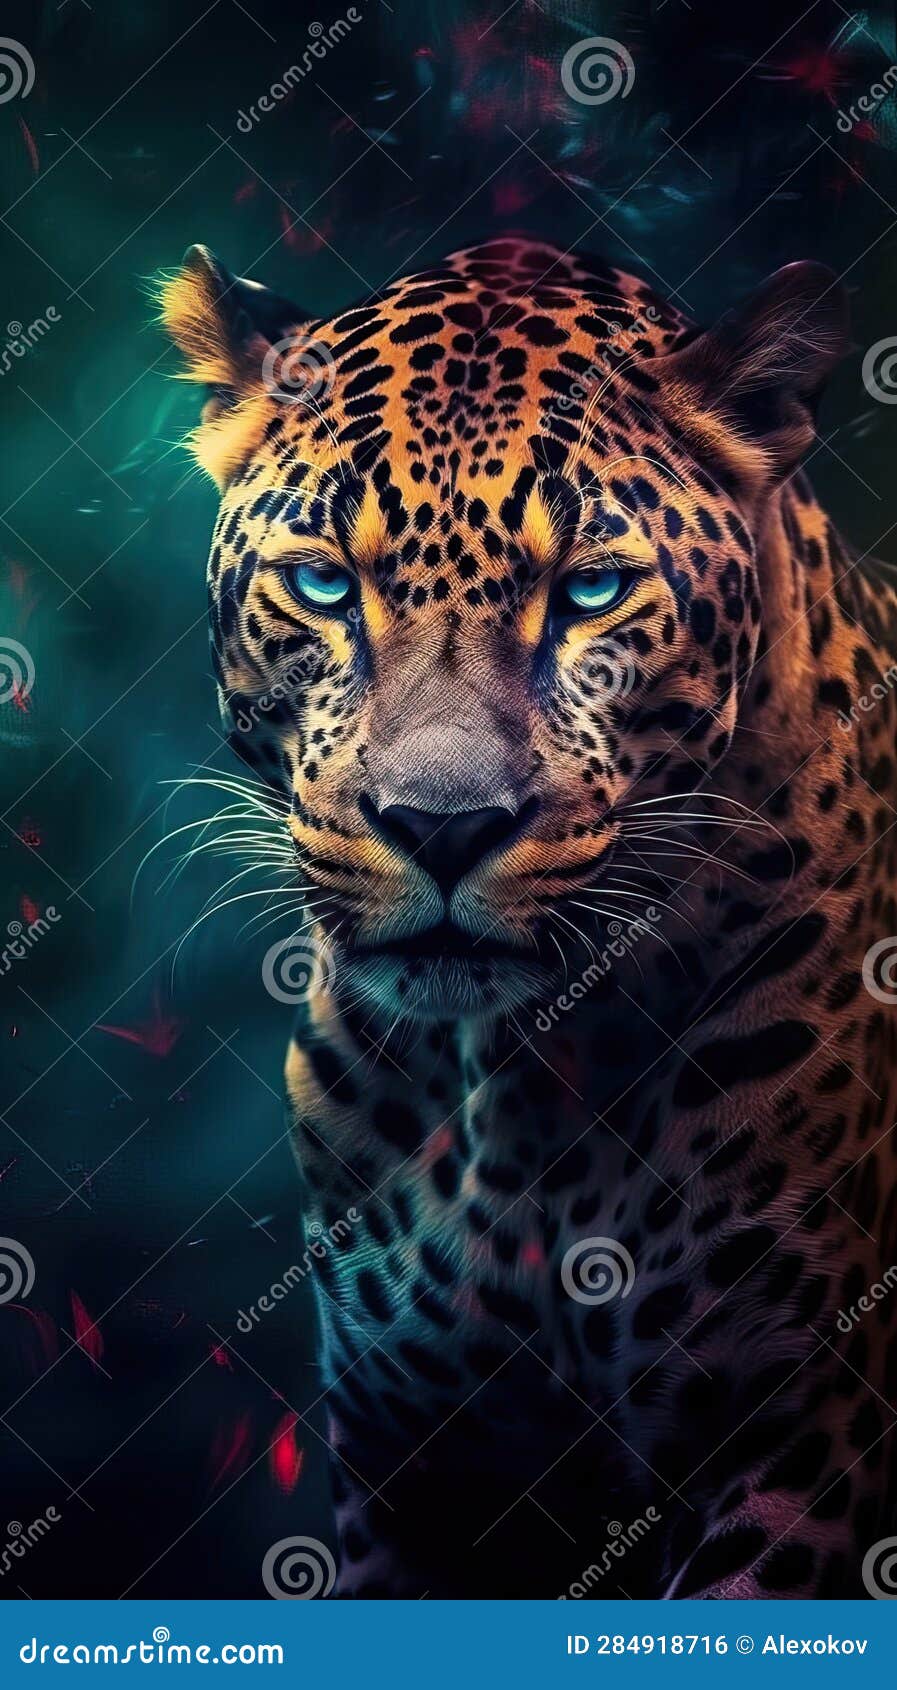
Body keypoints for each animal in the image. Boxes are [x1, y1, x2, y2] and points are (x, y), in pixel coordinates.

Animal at [160, 236, 897, 1599]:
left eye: (594, 591)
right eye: (323, 584)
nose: (441, 825)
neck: (522, 1087)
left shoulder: (793, 1430)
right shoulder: (409, 1462)